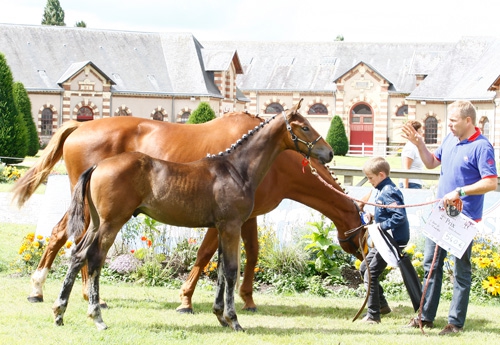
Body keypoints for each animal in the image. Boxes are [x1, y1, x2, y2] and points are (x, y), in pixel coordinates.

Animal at [10, 103, 364, 310]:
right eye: (305, 126)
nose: (329, 152)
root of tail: (80, 126)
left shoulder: (247, 217)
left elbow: (251, 253)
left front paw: (247, 299)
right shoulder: (226, 220)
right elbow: (207, 254)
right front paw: (186, 299)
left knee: (65, 237)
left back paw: (52, 291)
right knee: (72, 239)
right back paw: (64, 291)